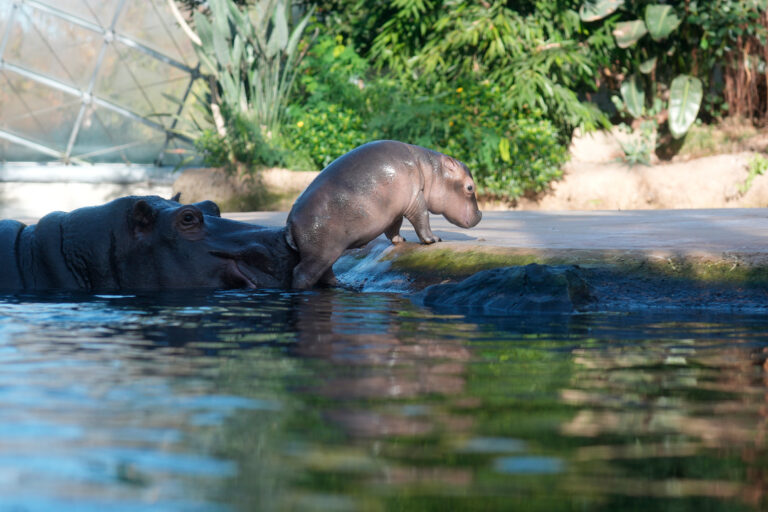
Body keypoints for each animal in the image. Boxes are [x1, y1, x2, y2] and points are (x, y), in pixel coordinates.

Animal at [286, 140, 482, 289]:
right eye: (470, 187)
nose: (480, 214)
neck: (432, 171)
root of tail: (289, 221)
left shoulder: (396, 210)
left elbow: (394, 226)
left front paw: (399, 240)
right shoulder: (416, 198)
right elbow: (422, 218)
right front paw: (433, 240)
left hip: (325, 254)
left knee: (326, 273)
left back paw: (339, 284)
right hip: (320, 254)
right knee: (303, 273)